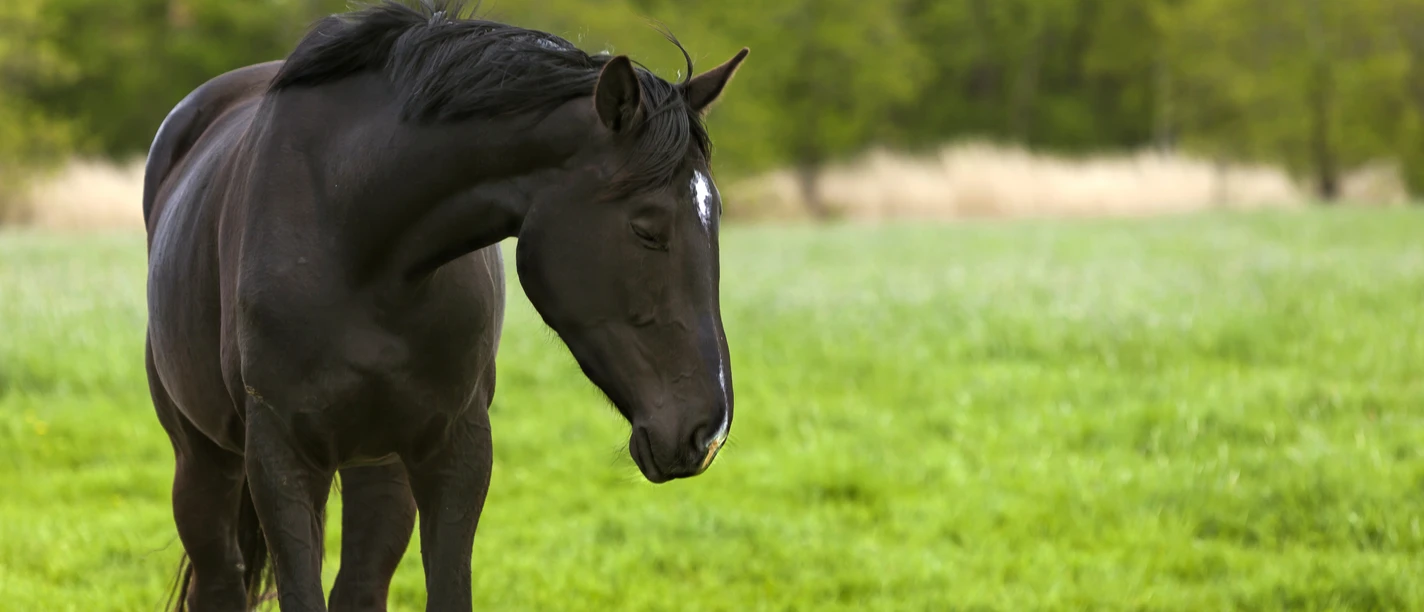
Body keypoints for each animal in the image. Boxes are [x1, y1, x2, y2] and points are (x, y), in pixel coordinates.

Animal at [140, 1, 748, 609]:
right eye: (647, 229)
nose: (708, 433)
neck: (350, 225)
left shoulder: (456, 450)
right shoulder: (280, 457)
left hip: (378, 466)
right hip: (204, 464)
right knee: (219, 580)